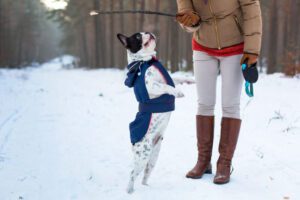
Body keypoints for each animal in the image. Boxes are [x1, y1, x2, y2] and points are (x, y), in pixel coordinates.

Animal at [116, 32, 183, 193]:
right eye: (137, 37)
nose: (148, 32)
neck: (144, 61)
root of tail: (134, 145)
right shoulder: (150, 85)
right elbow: (166, 86)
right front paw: (177, 92)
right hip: (143, 156)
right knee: (132, 173)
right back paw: (129, 191)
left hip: (153, 157)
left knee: (146, 173)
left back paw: (147, 187)